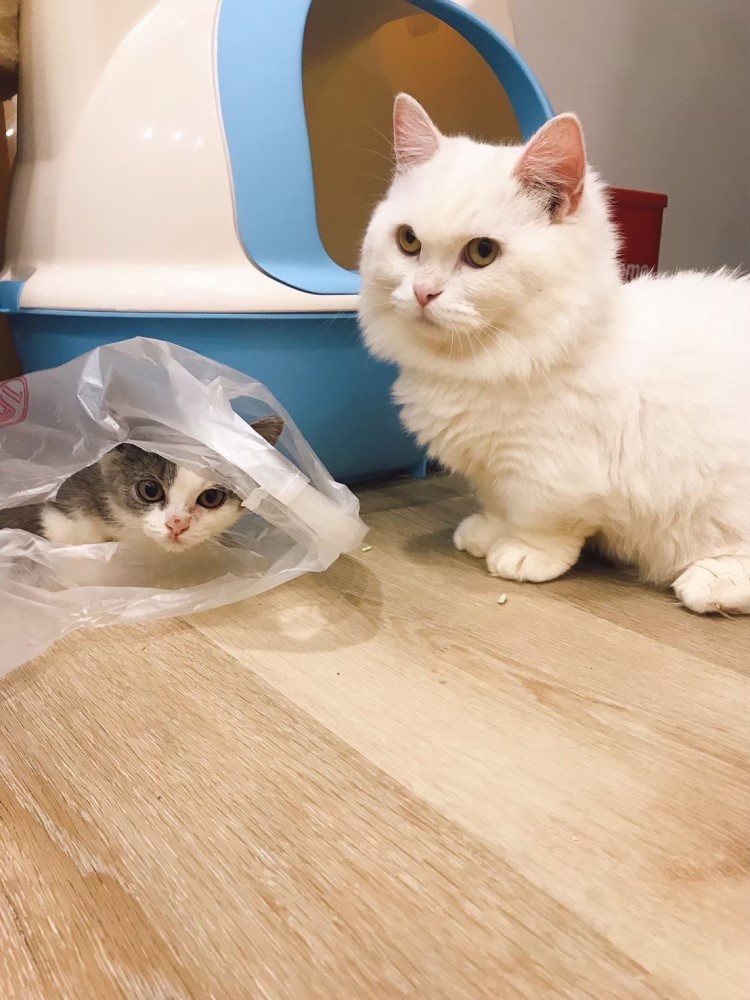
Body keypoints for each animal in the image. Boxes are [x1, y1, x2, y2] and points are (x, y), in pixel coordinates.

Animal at [358, 93, 750, 615]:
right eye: (408, 241)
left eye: (482, 252)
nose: (423, 292)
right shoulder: (494, 469)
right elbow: (497, 503)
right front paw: (486, 532)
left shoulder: (549, 474)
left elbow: (541, 521)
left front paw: (522, 554)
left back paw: (708, 582)